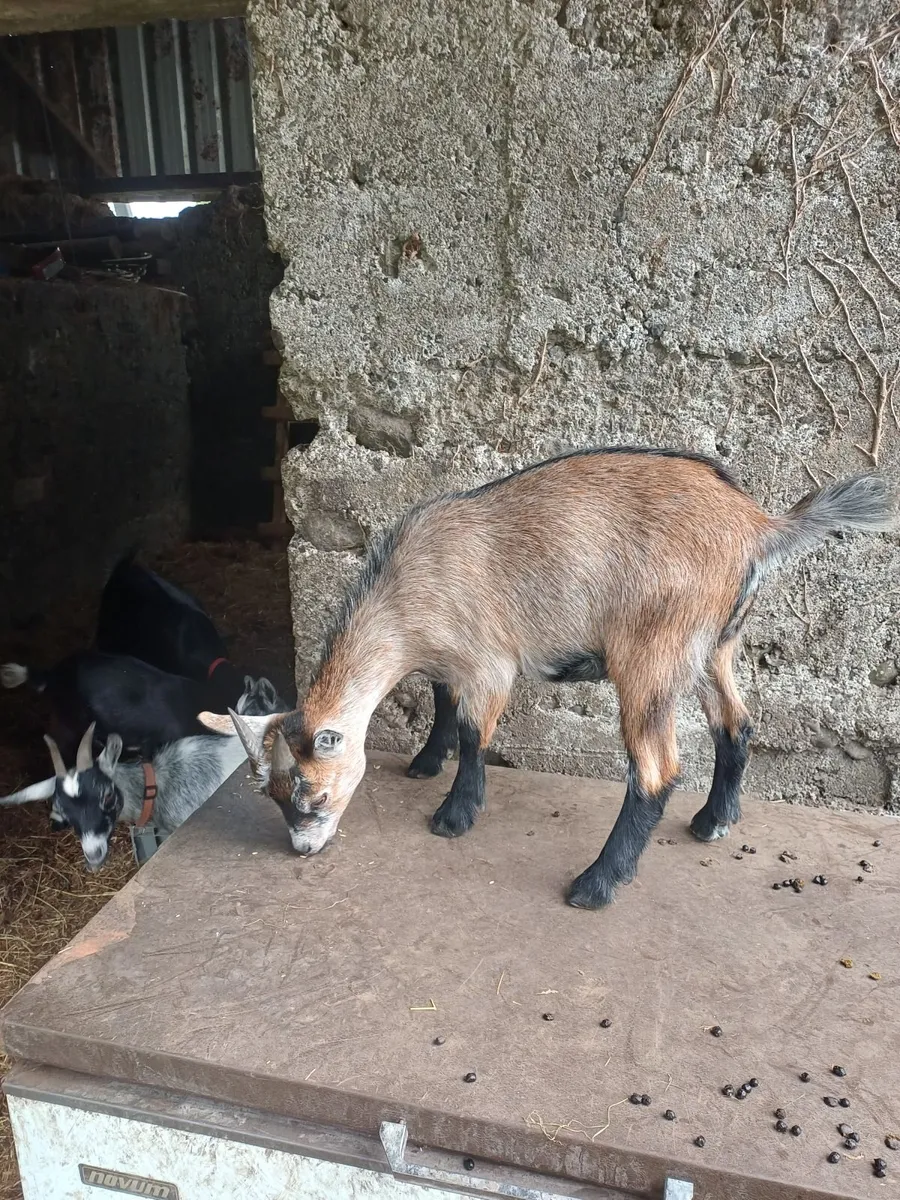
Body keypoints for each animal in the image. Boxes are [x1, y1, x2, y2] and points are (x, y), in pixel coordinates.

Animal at [198, 447, 895, 908]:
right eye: (273, 796)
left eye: (314, 794)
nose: (303, 849)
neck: (405, 594)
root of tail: (757, 527)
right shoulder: (451, 661)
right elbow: (442, 702)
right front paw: (425, 763)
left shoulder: (489, 663)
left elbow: (474, 732)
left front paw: (455, 815)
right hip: (712, 648)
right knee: (737, 724)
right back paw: (714, 820)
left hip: (651, 651)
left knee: (656, 770)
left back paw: (596, 883)